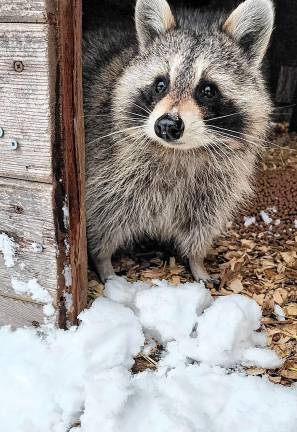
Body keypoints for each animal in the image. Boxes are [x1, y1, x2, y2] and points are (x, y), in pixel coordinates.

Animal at [82, 0, 272, 282]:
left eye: (208, 90)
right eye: (161, 84)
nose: (167, 125)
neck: (180, 152)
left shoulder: (214, 187)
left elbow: (201, 223)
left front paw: (196, 260)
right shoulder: (108, 169)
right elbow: (105, 216)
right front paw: (102, 259)